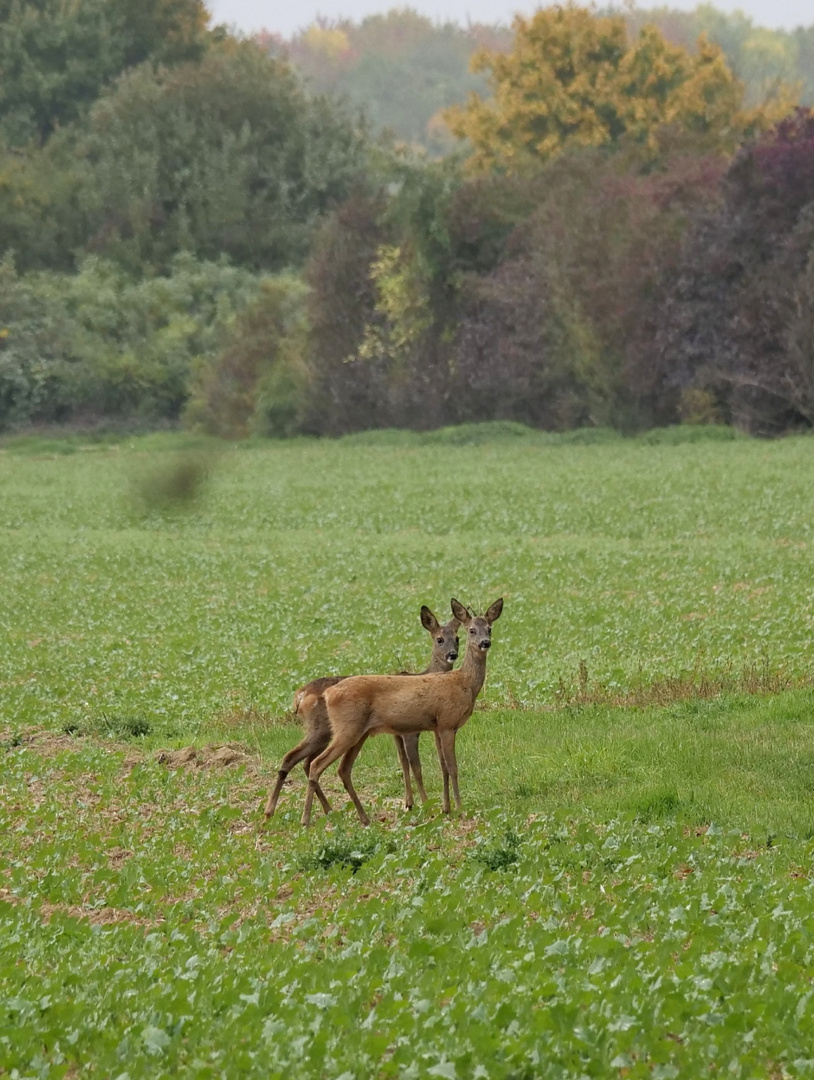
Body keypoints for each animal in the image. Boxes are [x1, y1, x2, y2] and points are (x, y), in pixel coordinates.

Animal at [264, 609, 459, 816]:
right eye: (439, 639)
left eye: (457, 638)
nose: (452, 654)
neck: (424, 676)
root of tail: (300, 695)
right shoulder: (410, 732)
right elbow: (416, 767)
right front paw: (424, 804)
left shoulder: (396, 733)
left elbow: (403, 763)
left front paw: (409, 803)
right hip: (322, 729)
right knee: (297, 759)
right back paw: (276, 810)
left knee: (304, 762)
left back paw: (320, 809)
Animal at [300, 600, 500, 825]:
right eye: (471, 630)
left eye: (490, 628)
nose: (485, 643)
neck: (464, 684)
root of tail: (328, 693)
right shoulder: (447, 723)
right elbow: (452, 767)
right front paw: (459, 809)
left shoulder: (438, 726)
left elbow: (442, 767)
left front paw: (446, 808)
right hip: (347, 729)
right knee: (316, 764)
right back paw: (307, 819)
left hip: (359, 733)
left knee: (342, 769)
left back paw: (364, 818)